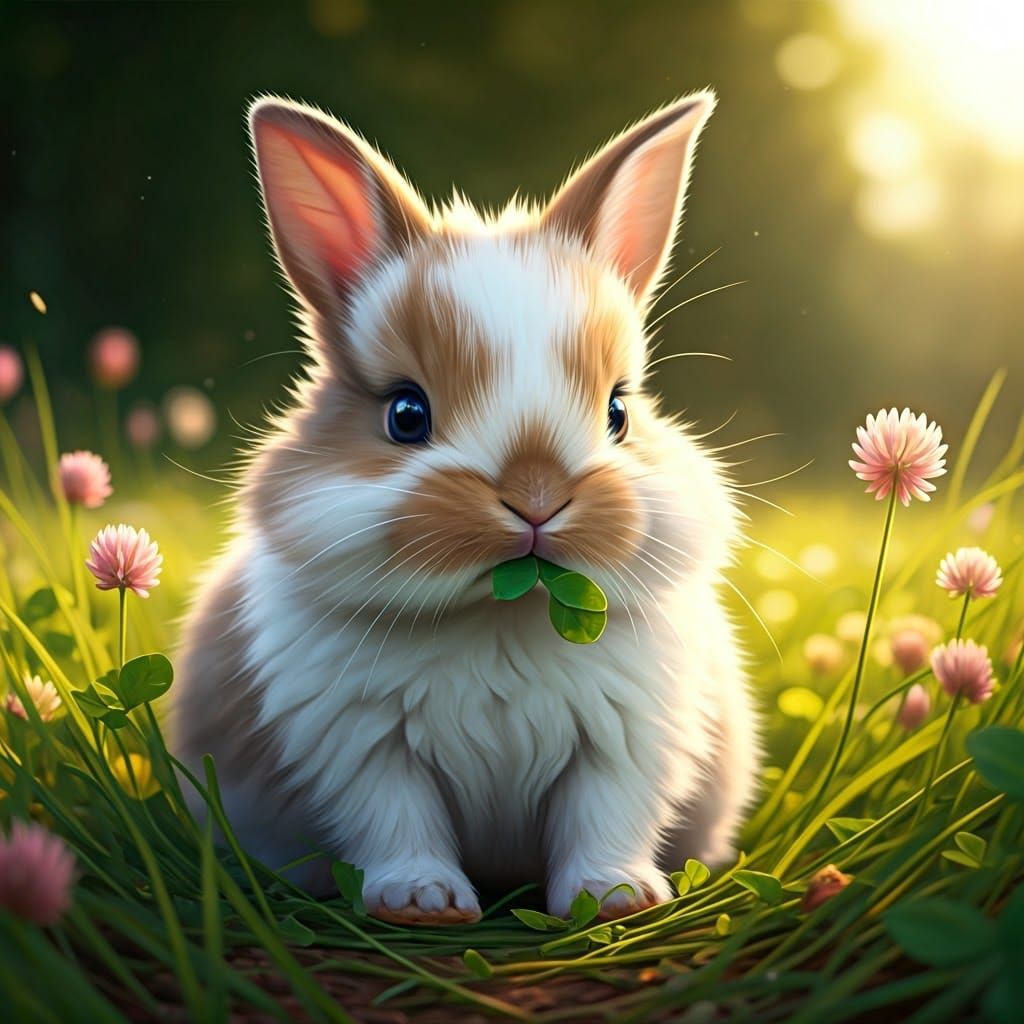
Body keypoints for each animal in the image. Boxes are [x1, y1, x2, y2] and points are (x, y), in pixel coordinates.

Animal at [171, 90, 759, 926]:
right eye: (405, 415)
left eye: (618, 413)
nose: (537, 498)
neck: (500, 614)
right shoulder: (364, 750)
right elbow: (397, 822)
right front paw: (422, 901)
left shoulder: (622, 744)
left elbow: (602, 820)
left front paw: (613, 898)